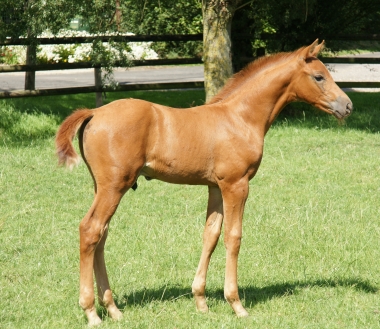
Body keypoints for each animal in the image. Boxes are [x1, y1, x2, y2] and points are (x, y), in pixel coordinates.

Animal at [56, 39, 354, 324]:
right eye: (319, 77)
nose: (347, 106)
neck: (240, 118)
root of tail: (94, 113)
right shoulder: (237, 185)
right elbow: (233, 236)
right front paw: (236, 304)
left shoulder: (215, 187)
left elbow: (210, 235)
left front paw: (201, 301)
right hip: (115, 186)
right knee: (90, 230)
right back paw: (91, 312)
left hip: (103, 187)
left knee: (101, 235)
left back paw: (113, 309)